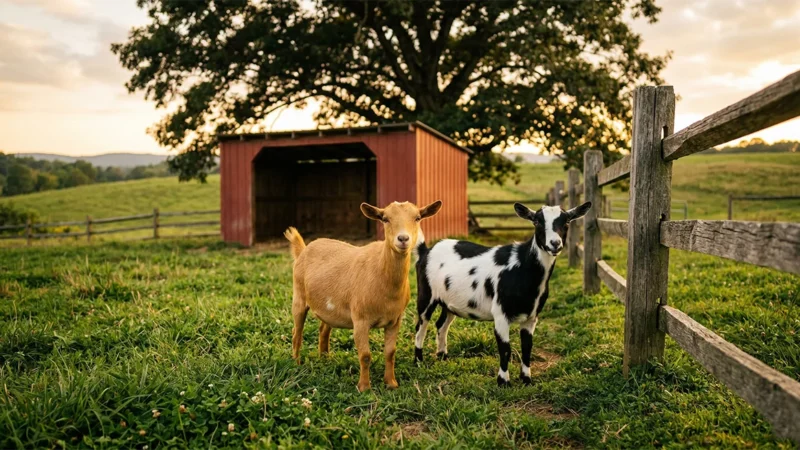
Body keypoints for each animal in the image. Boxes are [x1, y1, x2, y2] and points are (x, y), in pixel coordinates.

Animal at [284, 200, 442, 392]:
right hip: (298, 295)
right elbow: (365, 355)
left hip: (329, 306)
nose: (403, 239)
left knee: (323, 330)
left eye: (417, 218)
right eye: (385, 219)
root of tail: (304, 249)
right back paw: (296, 363)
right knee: (297, 332)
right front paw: (364, 387)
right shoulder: (360, 319)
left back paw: (325, 359)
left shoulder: (395, 320)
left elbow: (390, 353)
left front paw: (391, 383)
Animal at [414, 201, 591, 386]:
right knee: (421, 326)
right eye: (537, 222)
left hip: (449, 303)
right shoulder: (500, 314)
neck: (522, 267)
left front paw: (526, 379)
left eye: (567, 222)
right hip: (426, 295)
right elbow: (505, 348)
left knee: (441, 324)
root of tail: (426, 251)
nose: (555, 243)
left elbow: (527, 347)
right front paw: (503, 381)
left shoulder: (531, 317)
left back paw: (442, 356)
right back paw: (418, 361)